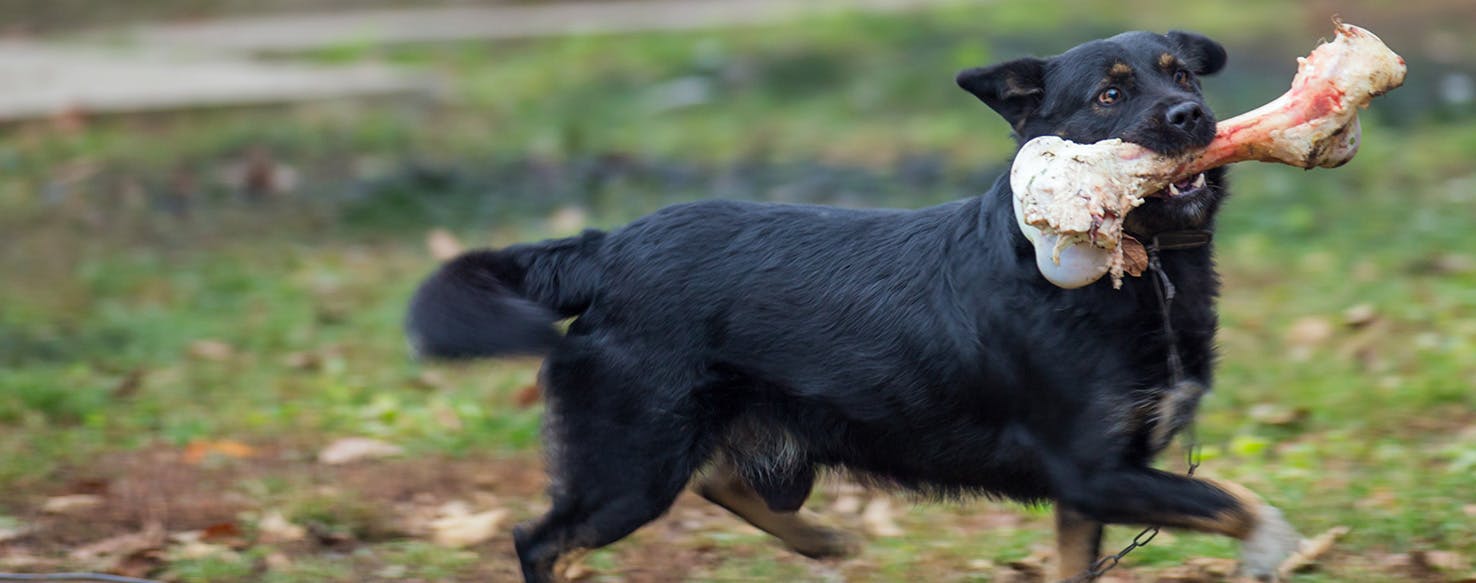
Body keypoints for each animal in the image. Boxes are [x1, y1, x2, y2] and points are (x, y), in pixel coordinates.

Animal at [410, 30, 1298, 578]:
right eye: (1112, 97)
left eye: (1181, 73)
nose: (1192, 115)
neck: (1144, 272)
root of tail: (604, 246)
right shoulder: (1092, 469)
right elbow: (1235, 500)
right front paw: (1273, 544)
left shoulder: (1096, 487)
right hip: (631, 464)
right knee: (539, 541)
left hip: (758, 453)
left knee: (721, 480)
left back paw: (822, 539)